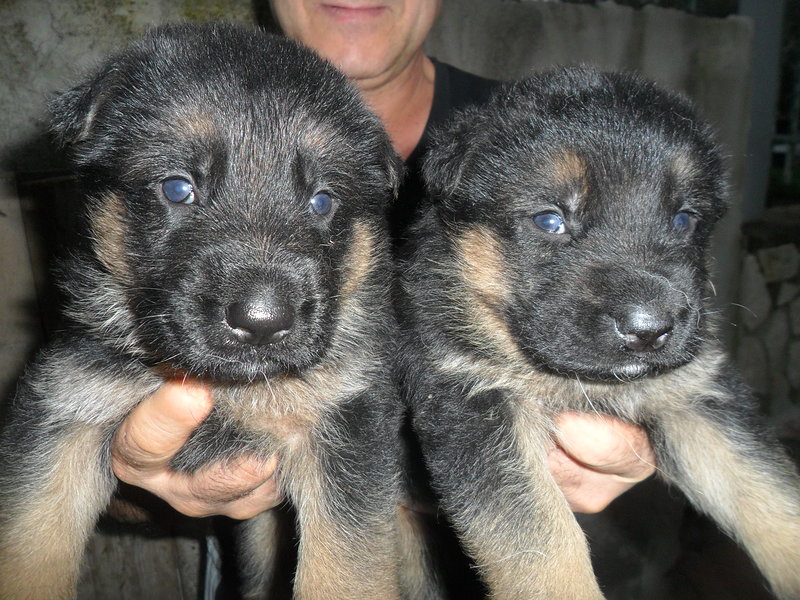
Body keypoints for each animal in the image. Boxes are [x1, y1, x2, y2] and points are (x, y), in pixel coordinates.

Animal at [0, 21, 404, 596]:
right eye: (177, 188)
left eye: (323, 201)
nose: (263, 321)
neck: (230, 389)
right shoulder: (66, 410)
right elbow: (28, 552)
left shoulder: (346, 423)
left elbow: (346, 570)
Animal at [398, 67, 800, 600]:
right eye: (550, 220)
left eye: (684, 218)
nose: (649, 330)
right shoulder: (473, 400)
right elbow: (542, 547)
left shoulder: (695, 399)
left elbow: (771, 497)